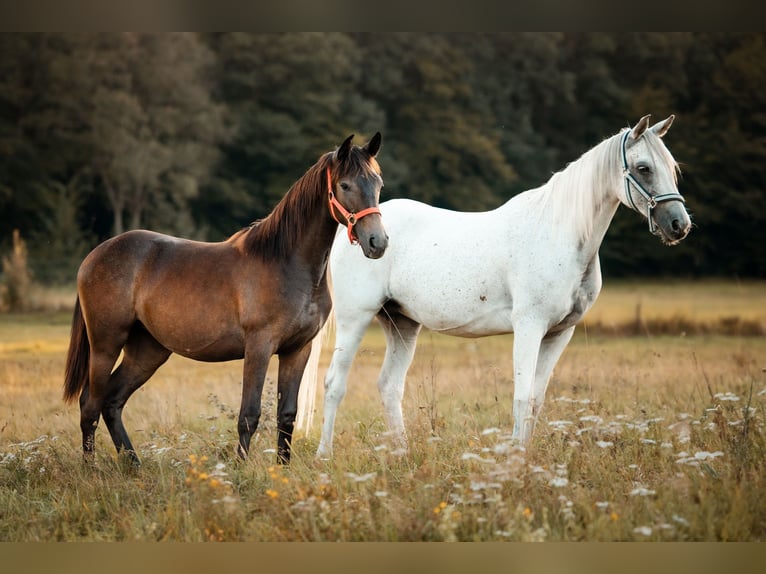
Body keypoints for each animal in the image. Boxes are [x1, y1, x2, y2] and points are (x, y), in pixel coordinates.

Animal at [63, 133, 390, 466]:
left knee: (112, 402)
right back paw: (90, 469)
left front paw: (282, 469)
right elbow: (249, 414)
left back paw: (134, 465)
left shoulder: (298, 349)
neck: (286, 262)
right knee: (90, 404)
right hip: (105, 344)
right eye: (345, 185)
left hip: (147, 351)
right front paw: (241, 469)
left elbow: (287, 415)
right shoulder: (259, 346)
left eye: (377, 183)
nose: (377, 242)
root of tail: (95, 255)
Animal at [300, 117, 696, 460]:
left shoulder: (559, 333)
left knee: (389, 386)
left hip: (402, 324)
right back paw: (324, 456)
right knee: (334, 383)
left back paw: (402, 455)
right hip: (356, 319)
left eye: (672, 167)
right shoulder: (529, 326)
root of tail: (355, 229)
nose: (679, 225)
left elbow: (535, 399)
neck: (559, 232)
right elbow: (521, 396)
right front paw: (517, 459)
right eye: (643, 168)